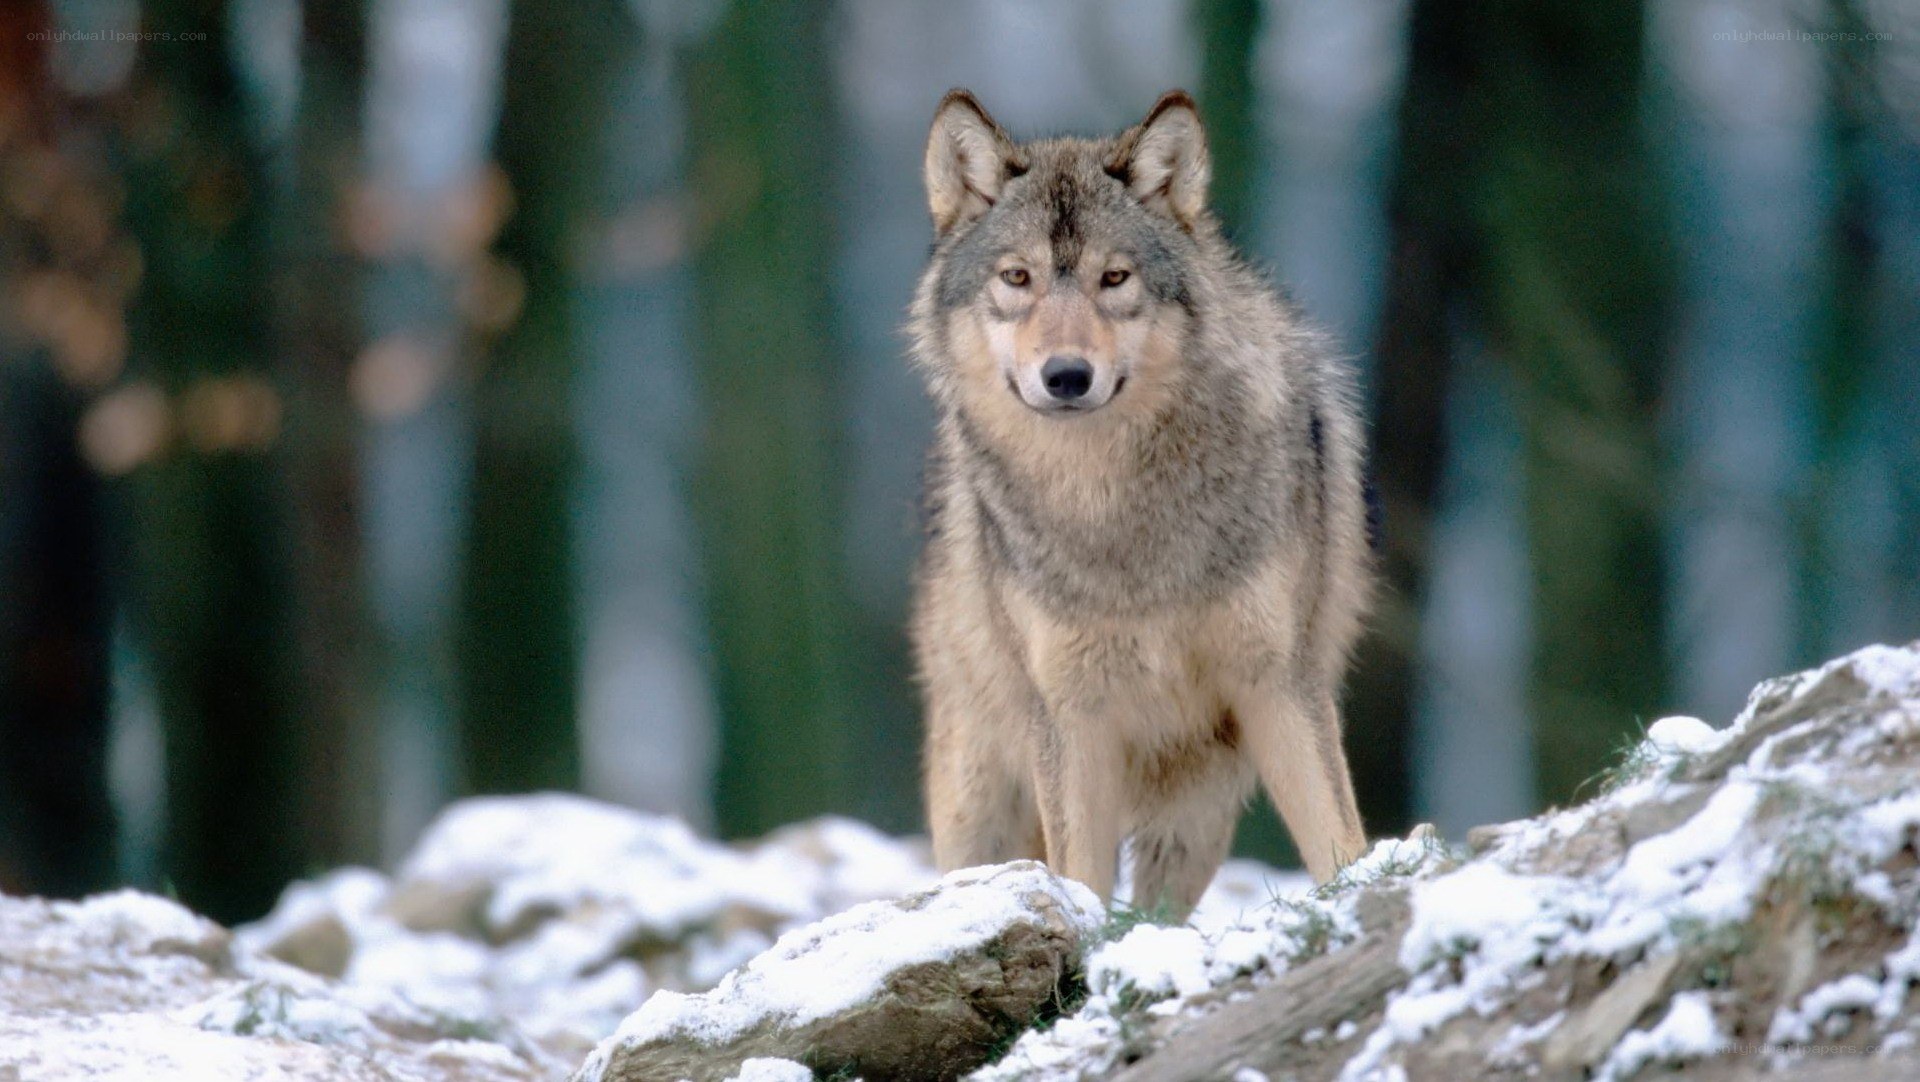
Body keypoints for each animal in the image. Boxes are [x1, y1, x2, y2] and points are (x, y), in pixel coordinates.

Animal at [908, 88, 1373, 914]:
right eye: (1018, 277)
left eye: (1115, 278)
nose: (1066, 375)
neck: (1116, 513)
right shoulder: (1071, 715)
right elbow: (1081, 879)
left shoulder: (1279, 682)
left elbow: (1337, 841)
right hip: (979, 803)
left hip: (1195, 812)